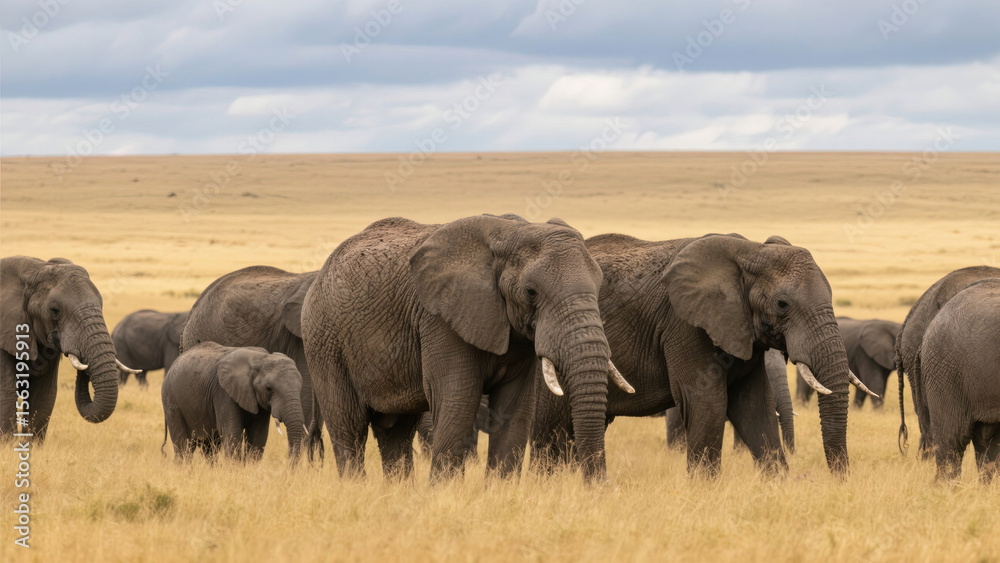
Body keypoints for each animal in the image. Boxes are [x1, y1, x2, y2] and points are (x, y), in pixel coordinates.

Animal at [161, 342, 305, 463]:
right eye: (268, 388)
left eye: (300, 386)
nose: (288, 465)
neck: (261, 358)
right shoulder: (223, 392)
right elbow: (232, 433)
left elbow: (258, 436)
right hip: (172, 401)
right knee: (184, 446)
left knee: (209, 448)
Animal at [302, 215, 633, 482]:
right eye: (531, 292)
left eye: (599, 286)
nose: (598, 486)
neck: (511, 232)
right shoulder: (439, 318)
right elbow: (457, 399)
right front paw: (445, 495)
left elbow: (515, 408)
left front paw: (500, 493)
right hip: (324, 341)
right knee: (349, 426)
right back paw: (355, 489)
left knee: (395, 432)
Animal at [531, 233, 874, 477]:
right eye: (782, 304)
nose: (840, 480)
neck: (750, 251)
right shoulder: (684, 324)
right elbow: (706, 400)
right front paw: (704, 490)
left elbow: (754, 405)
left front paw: (778, 484)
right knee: (551, 429)